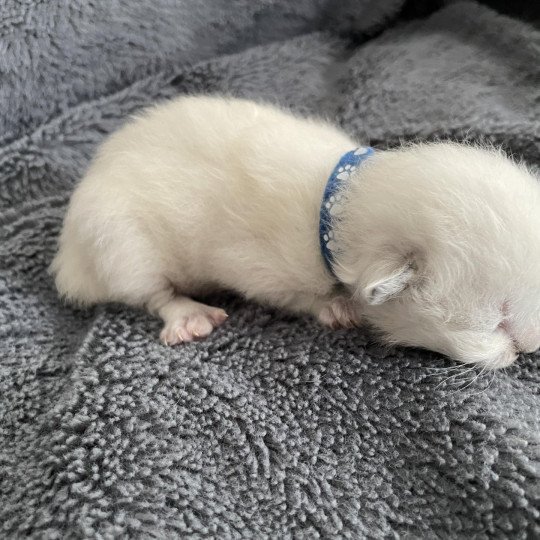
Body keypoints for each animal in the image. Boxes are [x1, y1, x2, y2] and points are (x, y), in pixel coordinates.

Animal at [52, 95, 540, 370]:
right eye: (496, 320)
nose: (530, 349)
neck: (342, 202)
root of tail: (69, 253)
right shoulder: (255, 266)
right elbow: (296, 295)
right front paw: (337, 307)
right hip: (119, 243)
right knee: (151, 292)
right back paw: (188, 316)